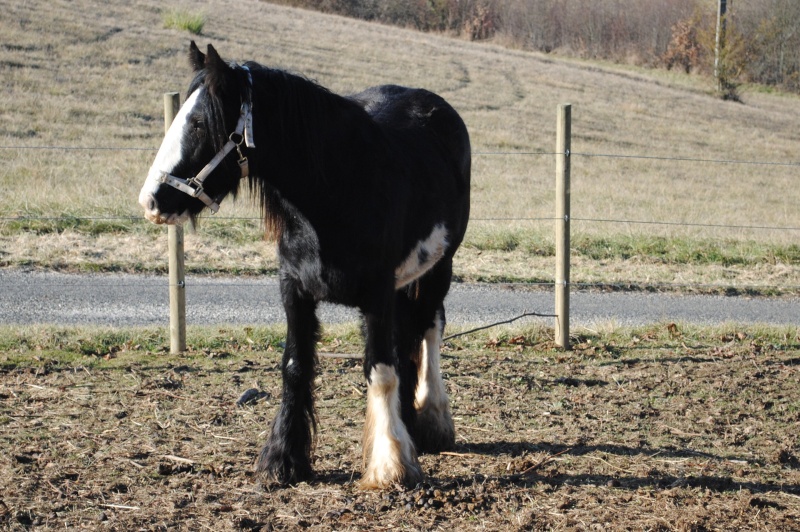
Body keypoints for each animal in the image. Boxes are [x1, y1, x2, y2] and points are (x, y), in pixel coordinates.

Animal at [141, 43, 472, 488]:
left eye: (198, 124)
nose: (151, 201)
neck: (337, 189)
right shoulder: (294, 289)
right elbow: (296, 367)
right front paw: (283, 459)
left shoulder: (379, 294)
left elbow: (382, 371)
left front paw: (389, 465)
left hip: (439, 269)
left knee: (431, 329)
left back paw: (432, 421)